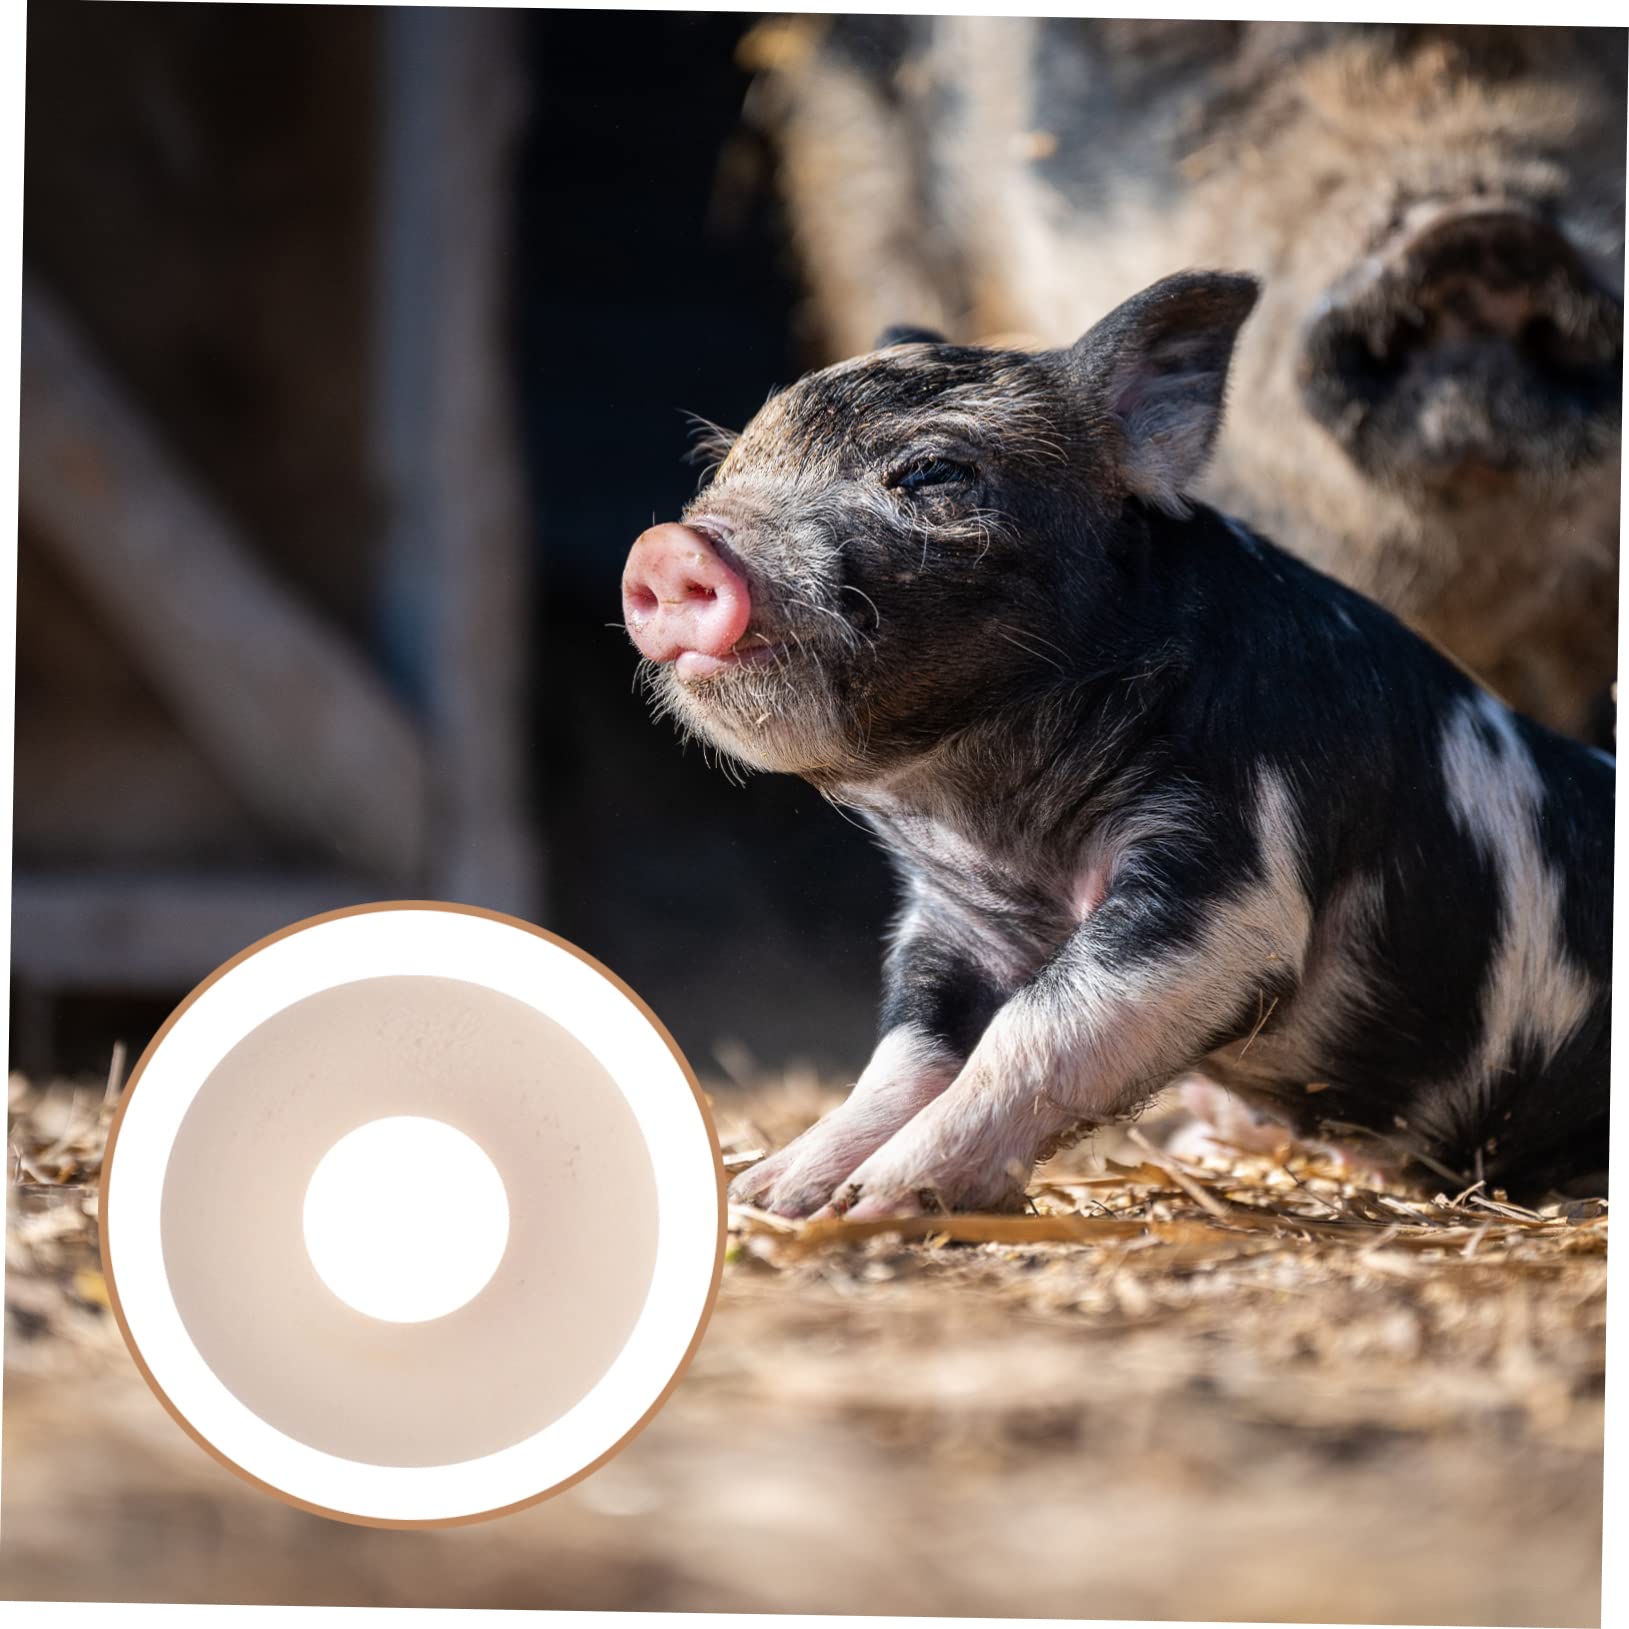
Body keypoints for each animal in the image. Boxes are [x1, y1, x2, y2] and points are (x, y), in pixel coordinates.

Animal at [622, 270, 1614, 1218]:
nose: (669, 548)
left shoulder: (1232, 873)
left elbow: (1042, 1023)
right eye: (726, 463)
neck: (996, 828)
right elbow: (906, 1053)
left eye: (930, 471)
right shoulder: (949, 923)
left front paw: (878, 1200)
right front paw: (776, 1198)